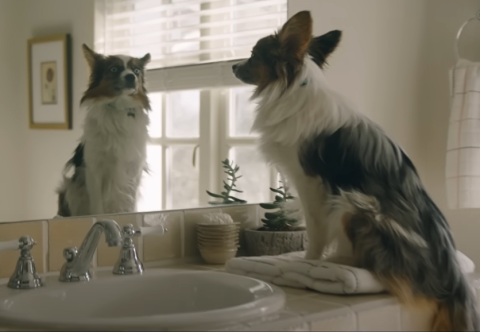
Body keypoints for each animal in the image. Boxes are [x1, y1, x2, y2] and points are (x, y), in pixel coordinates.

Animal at [56, 44, 150, 218]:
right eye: (114, 69)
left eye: (136, 71)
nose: (131, 77)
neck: (119, 106)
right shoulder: (95, 169)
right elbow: (98, 206)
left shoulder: (133, 169)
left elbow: (130, 202)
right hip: (69, 188)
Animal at [232, 11, 480, 332]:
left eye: (253, 55)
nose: (232, 65)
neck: (293, 88)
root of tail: (451, 272)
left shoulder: (310, 183)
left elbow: (315, 231)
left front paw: (307, 261)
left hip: (354, 203)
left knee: (375, 265)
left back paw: (338, 261)